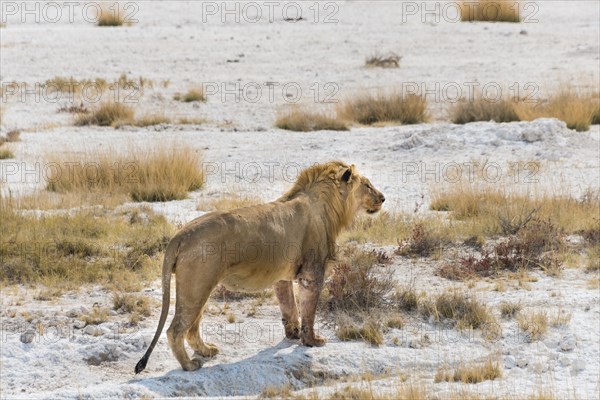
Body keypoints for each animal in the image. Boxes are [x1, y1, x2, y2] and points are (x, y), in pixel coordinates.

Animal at [135, 159, 384, 372]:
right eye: (367, 185)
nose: (383, 198)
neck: (329, 205)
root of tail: (180, 234)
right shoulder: (312, 273)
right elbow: (308, 311)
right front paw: (312, 341)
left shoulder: (282, 276)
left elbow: (289, 307)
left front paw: (292, 334)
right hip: (196, 287)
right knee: (175, 329)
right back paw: (189, 365)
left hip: (200, 288)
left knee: (192, 328)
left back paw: (207, 351)